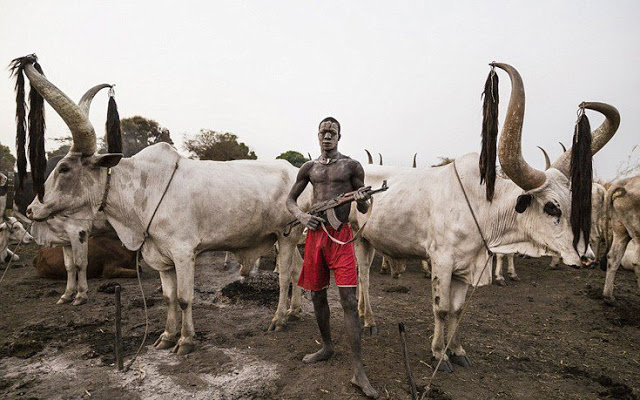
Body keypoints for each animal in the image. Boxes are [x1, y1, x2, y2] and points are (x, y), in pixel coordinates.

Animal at [350, 62, 616, 372]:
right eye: (552, 207)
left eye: (574, 202)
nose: (587, 257)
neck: (480, 207)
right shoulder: (442, 261)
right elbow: (441, 309)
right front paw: (439, 354)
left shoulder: (467, 267)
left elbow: (457, 309)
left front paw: (457, 350)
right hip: (358, 239)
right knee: (364, 277)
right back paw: (368, 321)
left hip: (370, 240)